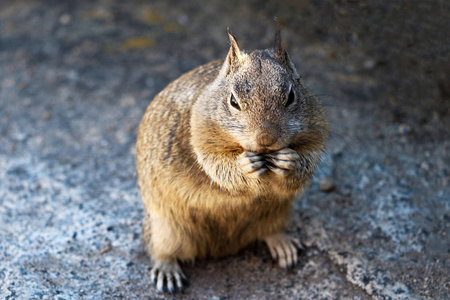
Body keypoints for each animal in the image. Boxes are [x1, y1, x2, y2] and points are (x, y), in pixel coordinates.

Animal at [135, 28, 328, 292]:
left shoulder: (316, 132)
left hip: (276, 215)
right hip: (164, 228)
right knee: (159, 251)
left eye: (290, 96)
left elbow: (308, 158)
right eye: (233, 101)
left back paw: (283, 244)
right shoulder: (202, 141)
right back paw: (167, 272)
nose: (266, 139)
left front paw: (290, 161)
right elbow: (218, 166)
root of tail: (222, 248)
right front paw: (245, 166)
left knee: (269, 232)